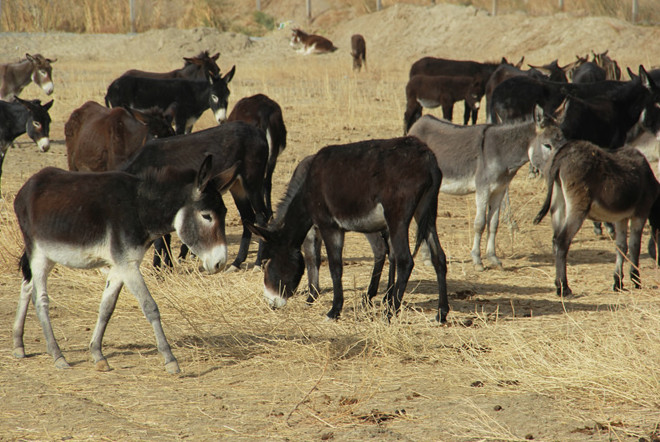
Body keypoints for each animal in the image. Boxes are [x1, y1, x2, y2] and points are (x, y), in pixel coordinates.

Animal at [12, 155, 238, 372]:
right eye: (206, 216)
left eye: (225, 214)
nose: (220, 263)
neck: (140, 207)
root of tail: (30, 183)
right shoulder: (128, 265)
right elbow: (150, 306)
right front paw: (170, 359)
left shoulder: (120, 264)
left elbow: (107, 307)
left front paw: (98, 355)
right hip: (38, 254)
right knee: (40, 300)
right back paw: (57, 355)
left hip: (48, 255)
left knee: (27, 286)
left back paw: (19, 345)